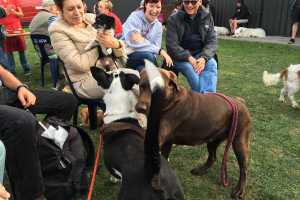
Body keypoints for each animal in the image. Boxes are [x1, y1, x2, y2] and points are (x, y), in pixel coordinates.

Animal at [135, 60, 252, 198]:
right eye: (142, 86)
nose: (140, 108)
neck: (170, 102)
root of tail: (240, 102)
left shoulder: (157, 140)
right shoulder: (167, 143)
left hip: (239, 142)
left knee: (244, 168)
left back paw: (239, 190)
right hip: (212, 139)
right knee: (212, 157)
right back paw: (201, 170)